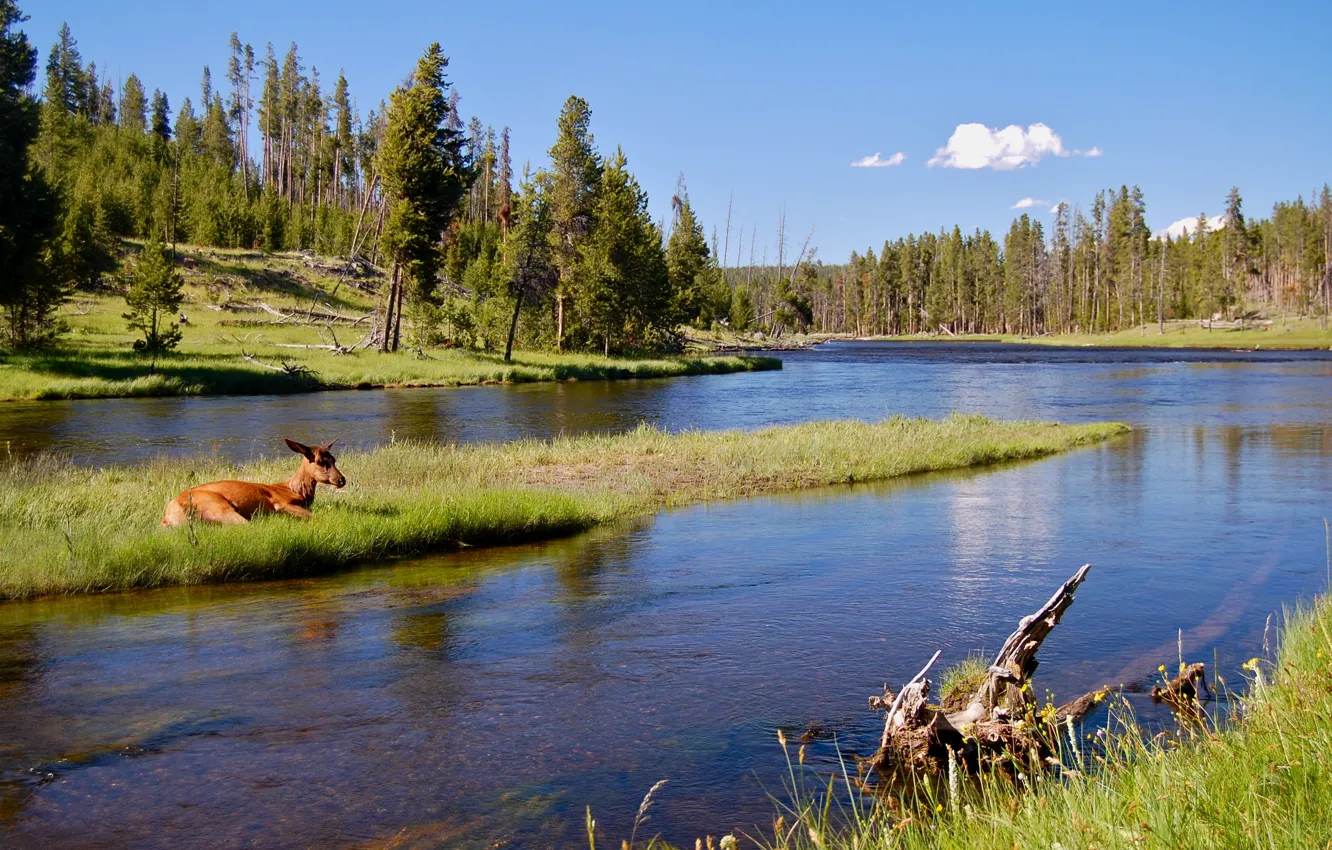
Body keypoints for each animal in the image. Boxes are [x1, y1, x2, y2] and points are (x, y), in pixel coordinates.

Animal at [161, 439, 347, 527]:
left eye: (334, 459)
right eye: (321, 461)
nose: (341, 479)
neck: (296, 490)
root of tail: (168, 516)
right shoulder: (281, 502)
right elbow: (315, 516)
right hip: (218, 506)